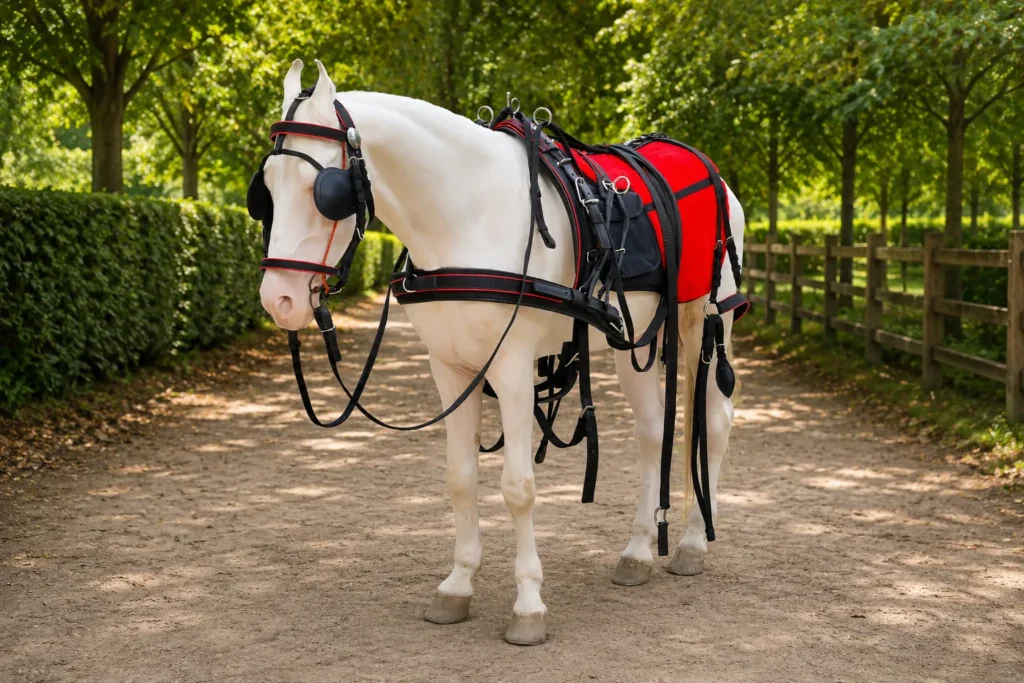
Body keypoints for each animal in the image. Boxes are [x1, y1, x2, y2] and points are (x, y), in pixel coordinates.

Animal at [257, 59, 744, 646]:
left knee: (711, 422)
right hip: (635, 334)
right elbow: (461, 478)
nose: (278, 299)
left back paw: (692, 542)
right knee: (653, 431)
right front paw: (457, 585)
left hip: (704, 317)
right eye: (265, 190)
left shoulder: (512, 366)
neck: (466, 214)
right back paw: (636, 552)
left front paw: (529, 605)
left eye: (321, 191)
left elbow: (518, 487)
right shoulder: (448, 366)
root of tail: (706, 167)